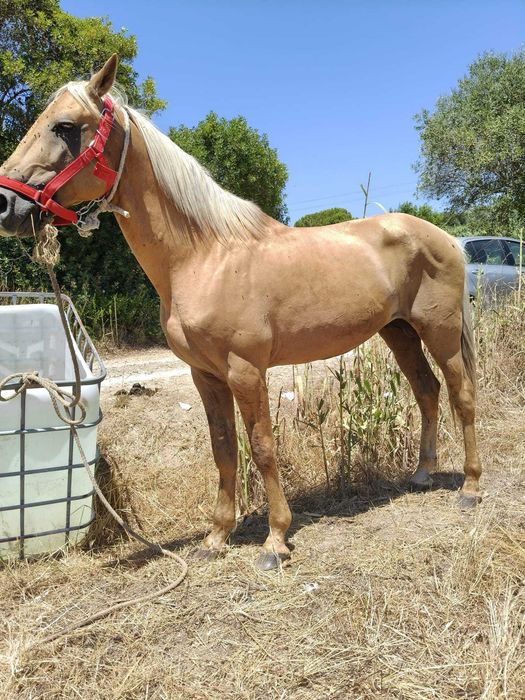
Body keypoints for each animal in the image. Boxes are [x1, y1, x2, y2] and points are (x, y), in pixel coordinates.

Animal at [0, 55, 481, 570]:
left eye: (66, 127)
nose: (6, 205)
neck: (204, 256)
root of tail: (445, 237)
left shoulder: (246, 371)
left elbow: (262, 447)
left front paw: (275, 540)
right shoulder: (205, 374)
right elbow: (224, 449)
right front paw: (217, 536)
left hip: (440, 331)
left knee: (461, 395)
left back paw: (470, 487)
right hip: (399, 332)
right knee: (428, 392)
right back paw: (422, 474)